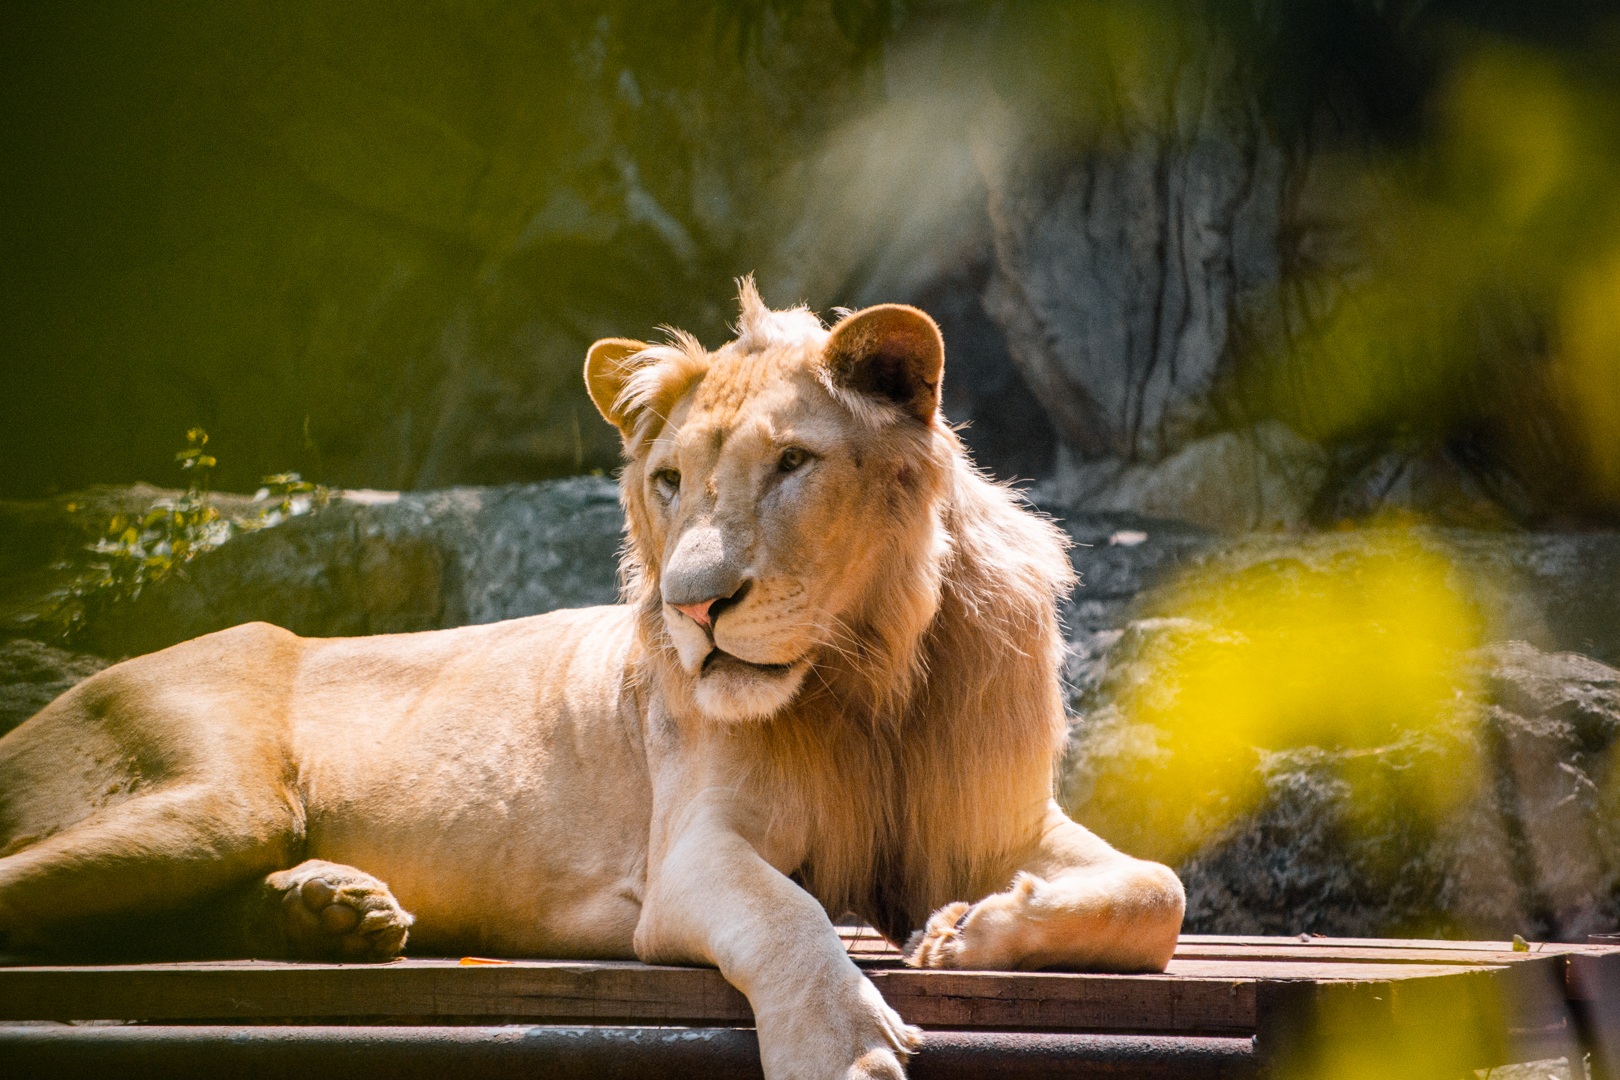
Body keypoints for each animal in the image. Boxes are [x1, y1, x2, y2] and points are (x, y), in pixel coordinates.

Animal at [0, 279, 1184, 1080]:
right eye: (669, 480)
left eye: (792, 464)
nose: (697, 609)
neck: (869, 679)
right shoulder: (688, 860)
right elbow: (790, 919)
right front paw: (844, 1048)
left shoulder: (990, 825)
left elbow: (1156, 893)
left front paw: (970, 932)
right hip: (212, 799)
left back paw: (330, 911)